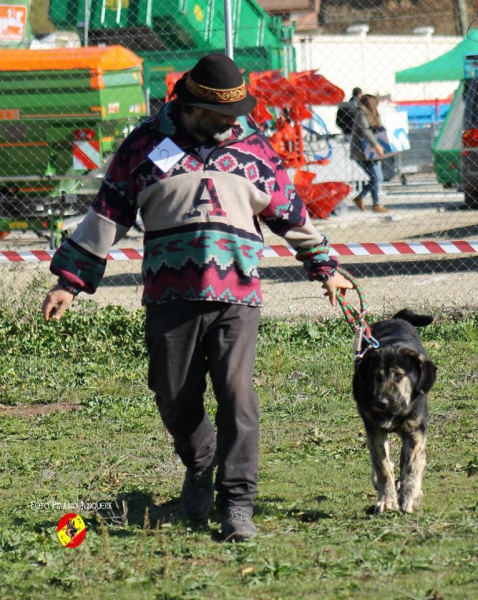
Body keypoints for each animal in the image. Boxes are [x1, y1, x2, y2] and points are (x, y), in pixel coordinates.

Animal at [352, 310, 436, 516]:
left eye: (399, 376)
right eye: (377, 376)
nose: (380, 403)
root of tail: (395, 318)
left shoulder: (415, 430)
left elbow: (413, 464)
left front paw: (409, 496)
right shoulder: (374, 429)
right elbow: (382, 466)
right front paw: (387, 500)